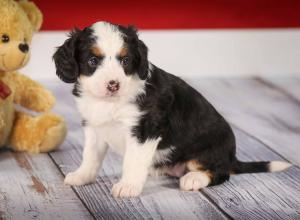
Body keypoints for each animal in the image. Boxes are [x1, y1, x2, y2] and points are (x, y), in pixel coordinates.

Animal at [52, 21, 292, 199]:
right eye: (93, 60)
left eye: (126, 60)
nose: (113, 84)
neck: (110, 102)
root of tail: (231, 157)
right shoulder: (94, 126)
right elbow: (90, 156)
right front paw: (82, 176)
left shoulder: (145, 130)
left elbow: (133, 161)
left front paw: (128, 186)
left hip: (206, 152)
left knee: (220, 173)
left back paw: (194, 178)